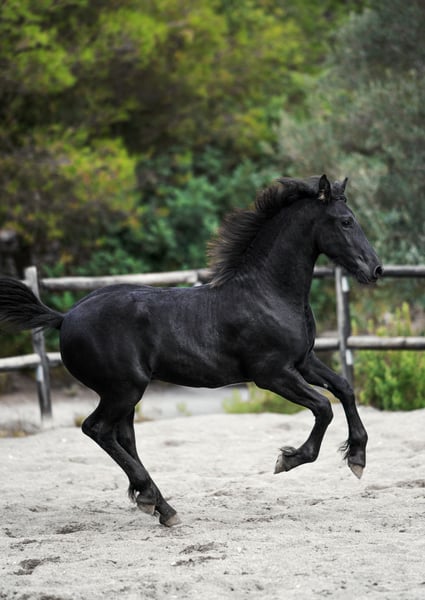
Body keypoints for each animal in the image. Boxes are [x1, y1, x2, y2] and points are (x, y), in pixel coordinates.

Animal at [0, 174, 383, 526]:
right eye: (345, 221)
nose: (375, 269)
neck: (267, 293)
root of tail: (64, 318)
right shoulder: (272, 373)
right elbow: (323, 407)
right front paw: (288, 459)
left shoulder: (303, 361)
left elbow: (344, 389)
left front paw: (358, 457)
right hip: (124, 389)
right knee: (97, 430)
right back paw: (154, 500)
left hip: (124, 392)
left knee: (123, 437)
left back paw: (159, 505)